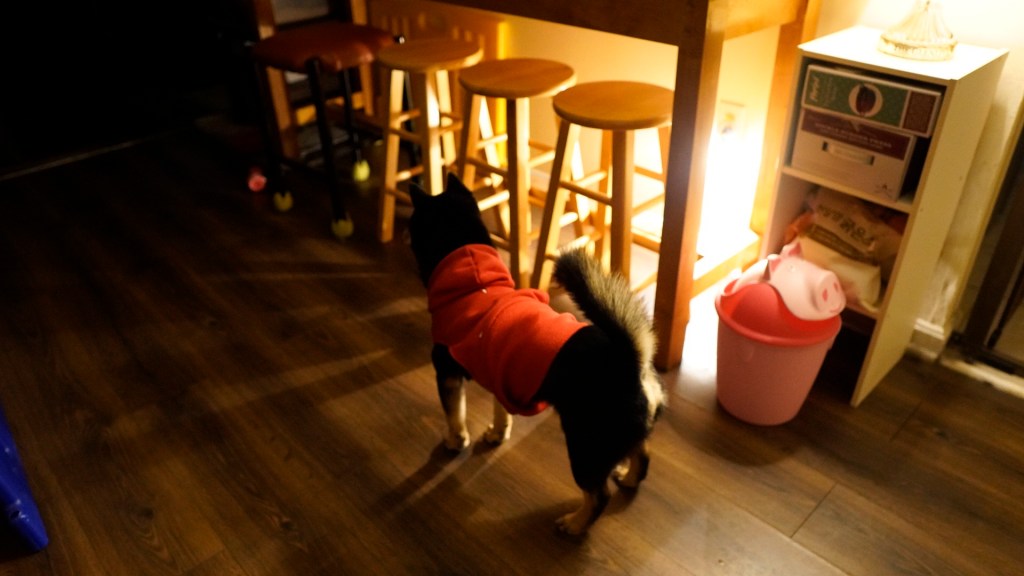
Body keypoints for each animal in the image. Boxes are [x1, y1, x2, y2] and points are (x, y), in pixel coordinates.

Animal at [407, 173, 665, 536]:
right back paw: (627, 479)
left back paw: (575, 524)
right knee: (642, 457)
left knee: (598, 495)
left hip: (585, 445)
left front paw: (455, 442)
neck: (473, 283)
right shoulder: (500, 373)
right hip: (620, 437)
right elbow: (501, 410)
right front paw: (497, 434)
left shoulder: (447, 373)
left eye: (411, 227)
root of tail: (631, 361)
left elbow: (454, 413)